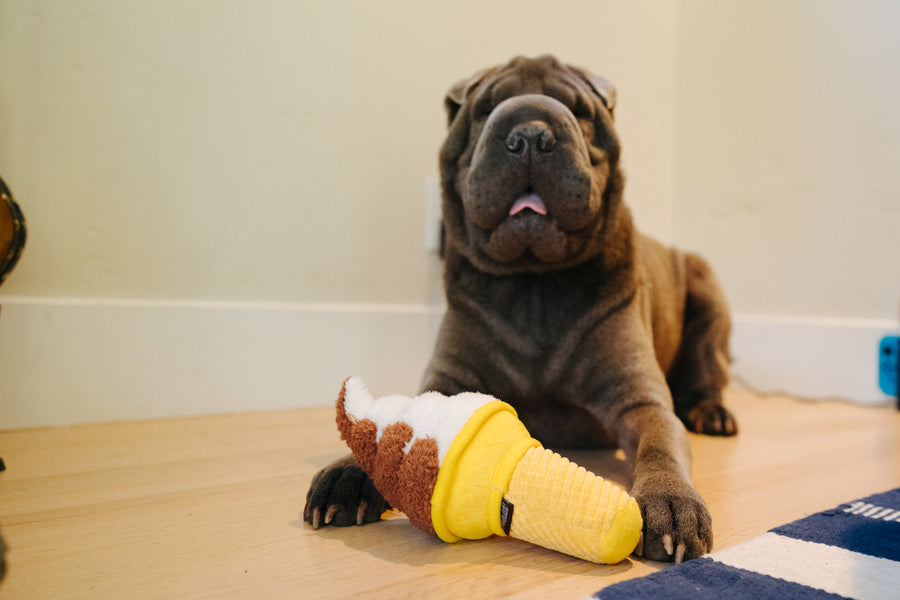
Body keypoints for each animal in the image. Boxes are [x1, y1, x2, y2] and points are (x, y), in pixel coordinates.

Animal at [306, 55, 736, 564]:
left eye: (580, 111)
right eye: (483, 110)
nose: (530, 135)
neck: (534, 289)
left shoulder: (641, 399)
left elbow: (660, 447)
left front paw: (671, 502)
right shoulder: (447, 381)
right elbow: (392, 424)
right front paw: (349, 473)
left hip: (706, 288)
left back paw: (712, 413)